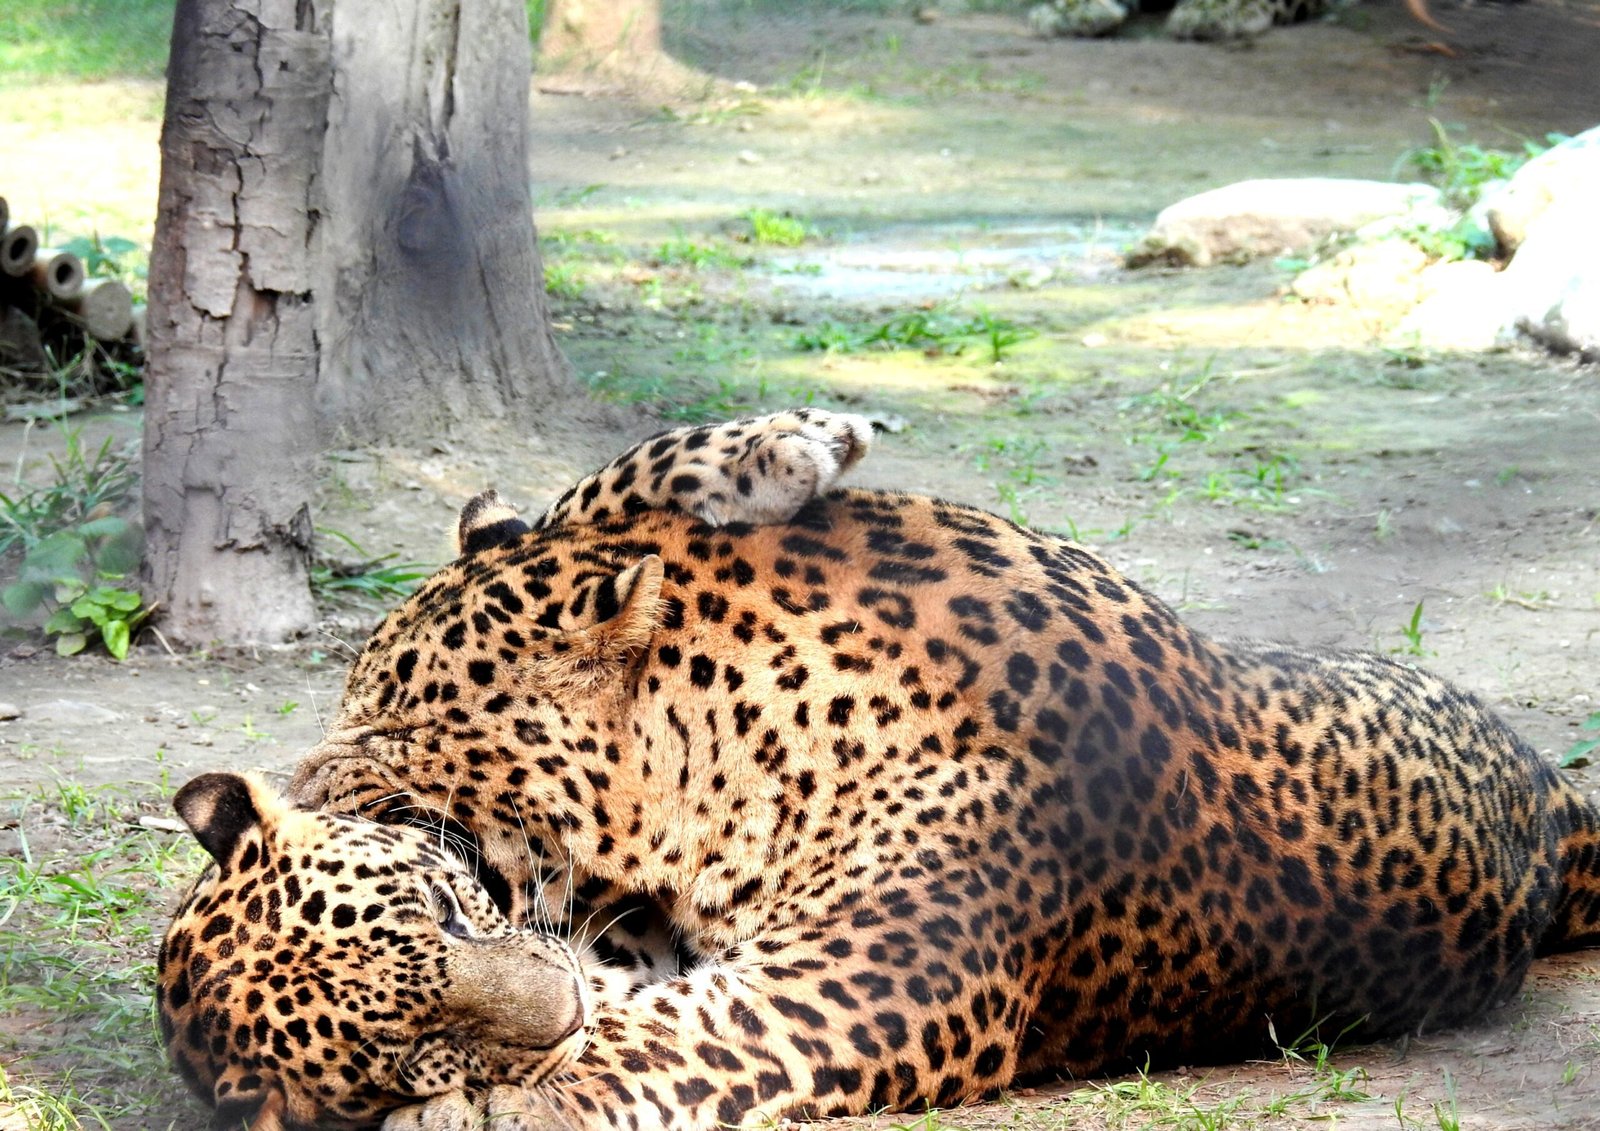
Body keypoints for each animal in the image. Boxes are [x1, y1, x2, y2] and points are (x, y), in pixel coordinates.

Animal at [159, 412, 1600, 1131]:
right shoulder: (815, 982)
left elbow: (585, 508)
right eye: (408, 1054)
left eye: (384, 706)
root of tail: (1550, 812)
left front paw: (785, 442)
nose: (297, 776)